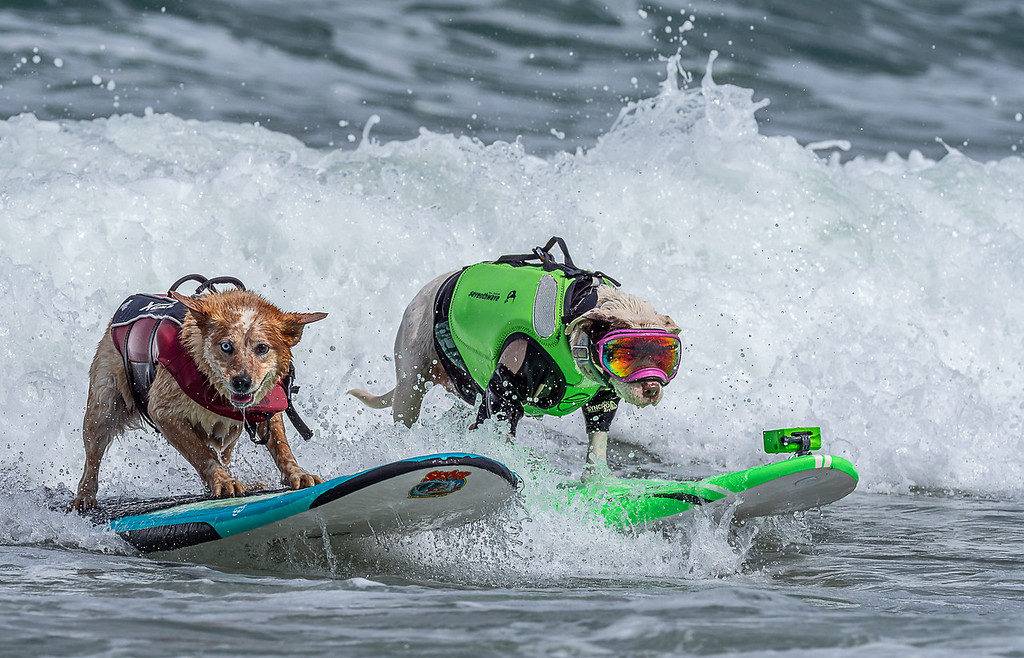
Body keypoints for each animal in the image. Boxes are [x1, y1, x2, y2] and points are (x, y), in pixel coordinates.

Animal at [74, 286, 325, 511]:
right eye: (226, 346)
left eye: (262, 348)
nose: (241, 382)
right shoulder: (164, 413)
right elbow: (200, 453)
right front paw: (223, 480)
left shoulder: (267, 408)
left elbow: (281, 446)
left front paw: (297, 473)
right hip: (103, 408)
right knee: (93, 455)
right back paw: (85, 497)